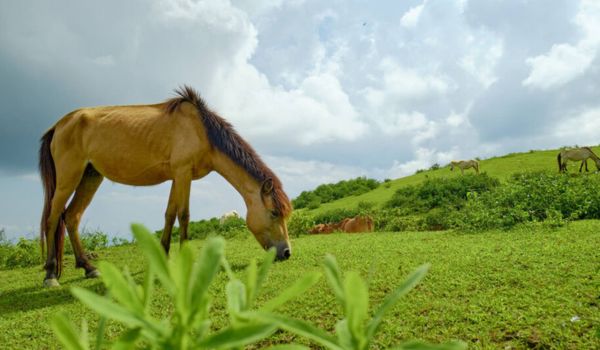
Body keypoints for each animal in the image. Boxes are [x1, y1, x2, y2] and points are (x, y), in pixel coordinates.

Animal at [38, 85, 292, 288]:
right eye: (274, 212)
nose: (287, 252)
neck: (201, 129)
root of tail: (58, 125)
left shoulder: (176, 177)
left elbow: (170, 214)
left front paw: (162, 256)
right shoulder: (183, 173)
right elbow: (184, 215)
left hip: (90, 177)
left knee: (72, 217)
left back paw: (89, 267)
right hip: (68, 179)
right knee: (52, 219)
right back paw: (50, 274)